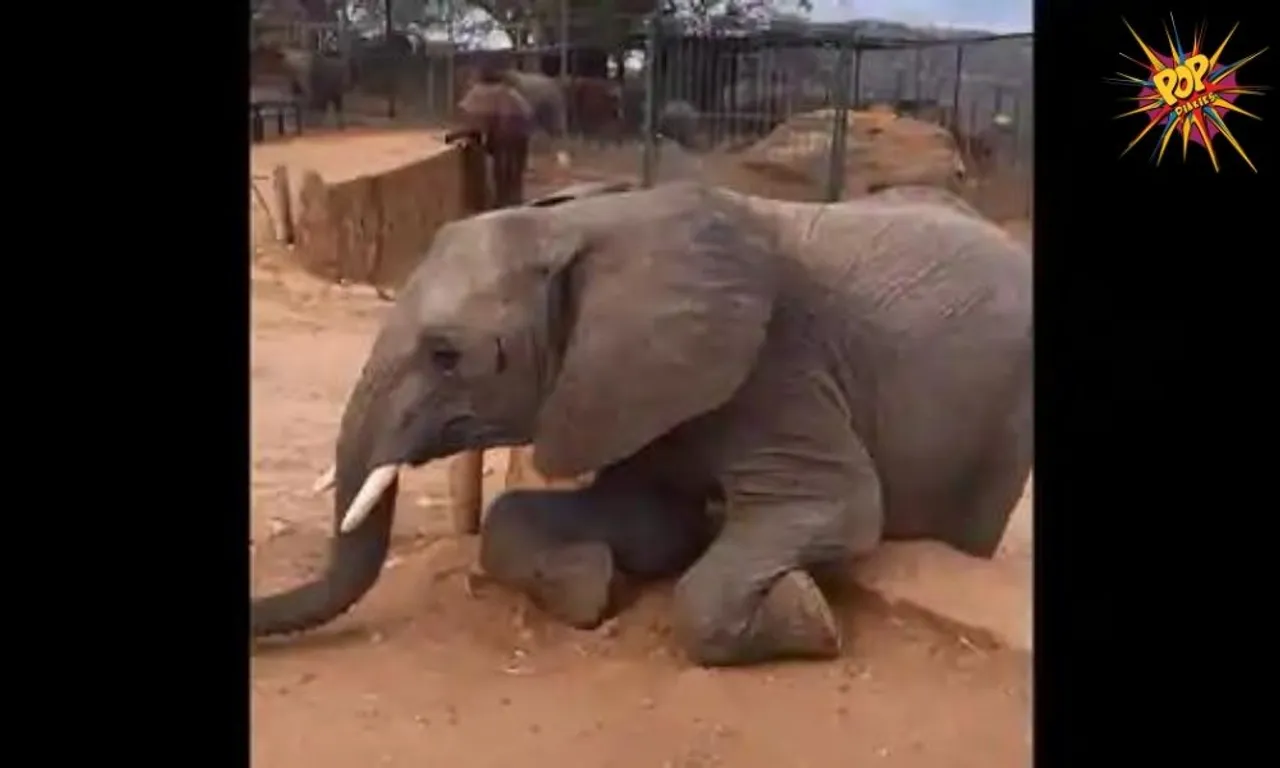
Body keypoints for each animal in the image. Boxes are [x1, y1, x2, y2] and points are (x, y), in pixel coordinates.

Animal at [254, 177, 1034, 665]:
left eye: (446, 356)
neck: (585, 223)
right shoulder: (630, 381)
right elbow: (640, 516)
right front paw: (592, 585)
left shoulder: (774, 361)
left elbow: (837, 504)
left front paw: (809, 618)